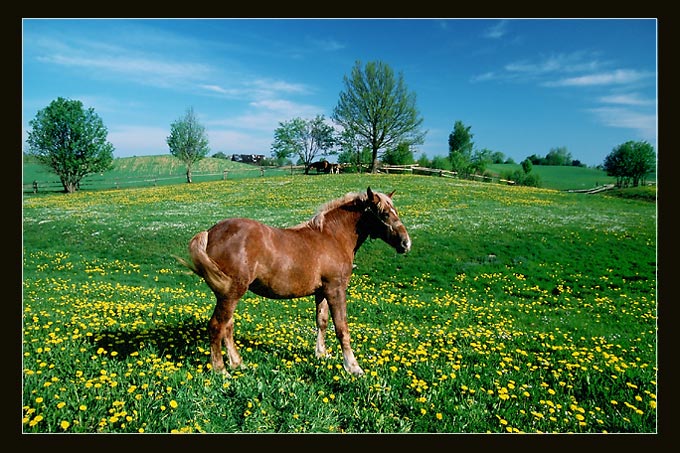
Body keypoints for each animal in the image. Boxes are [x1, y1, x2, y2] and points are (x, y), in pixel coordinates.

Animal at [179, 185, 410, 376]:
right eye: (384, 213)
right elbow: (341, 328)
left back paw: (237, 363)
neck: (331, 236)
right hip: (231, 293)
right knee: (217, 326)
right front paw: (353, 367)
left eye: (396, 211)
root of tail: (210, 232)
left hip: (229, 295)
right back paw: (221, 370)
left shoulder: (322, 291)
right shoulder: (336, 289)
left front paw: (321, 354)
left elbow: (322, 321)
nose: (406, 243)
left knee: (227, 326)